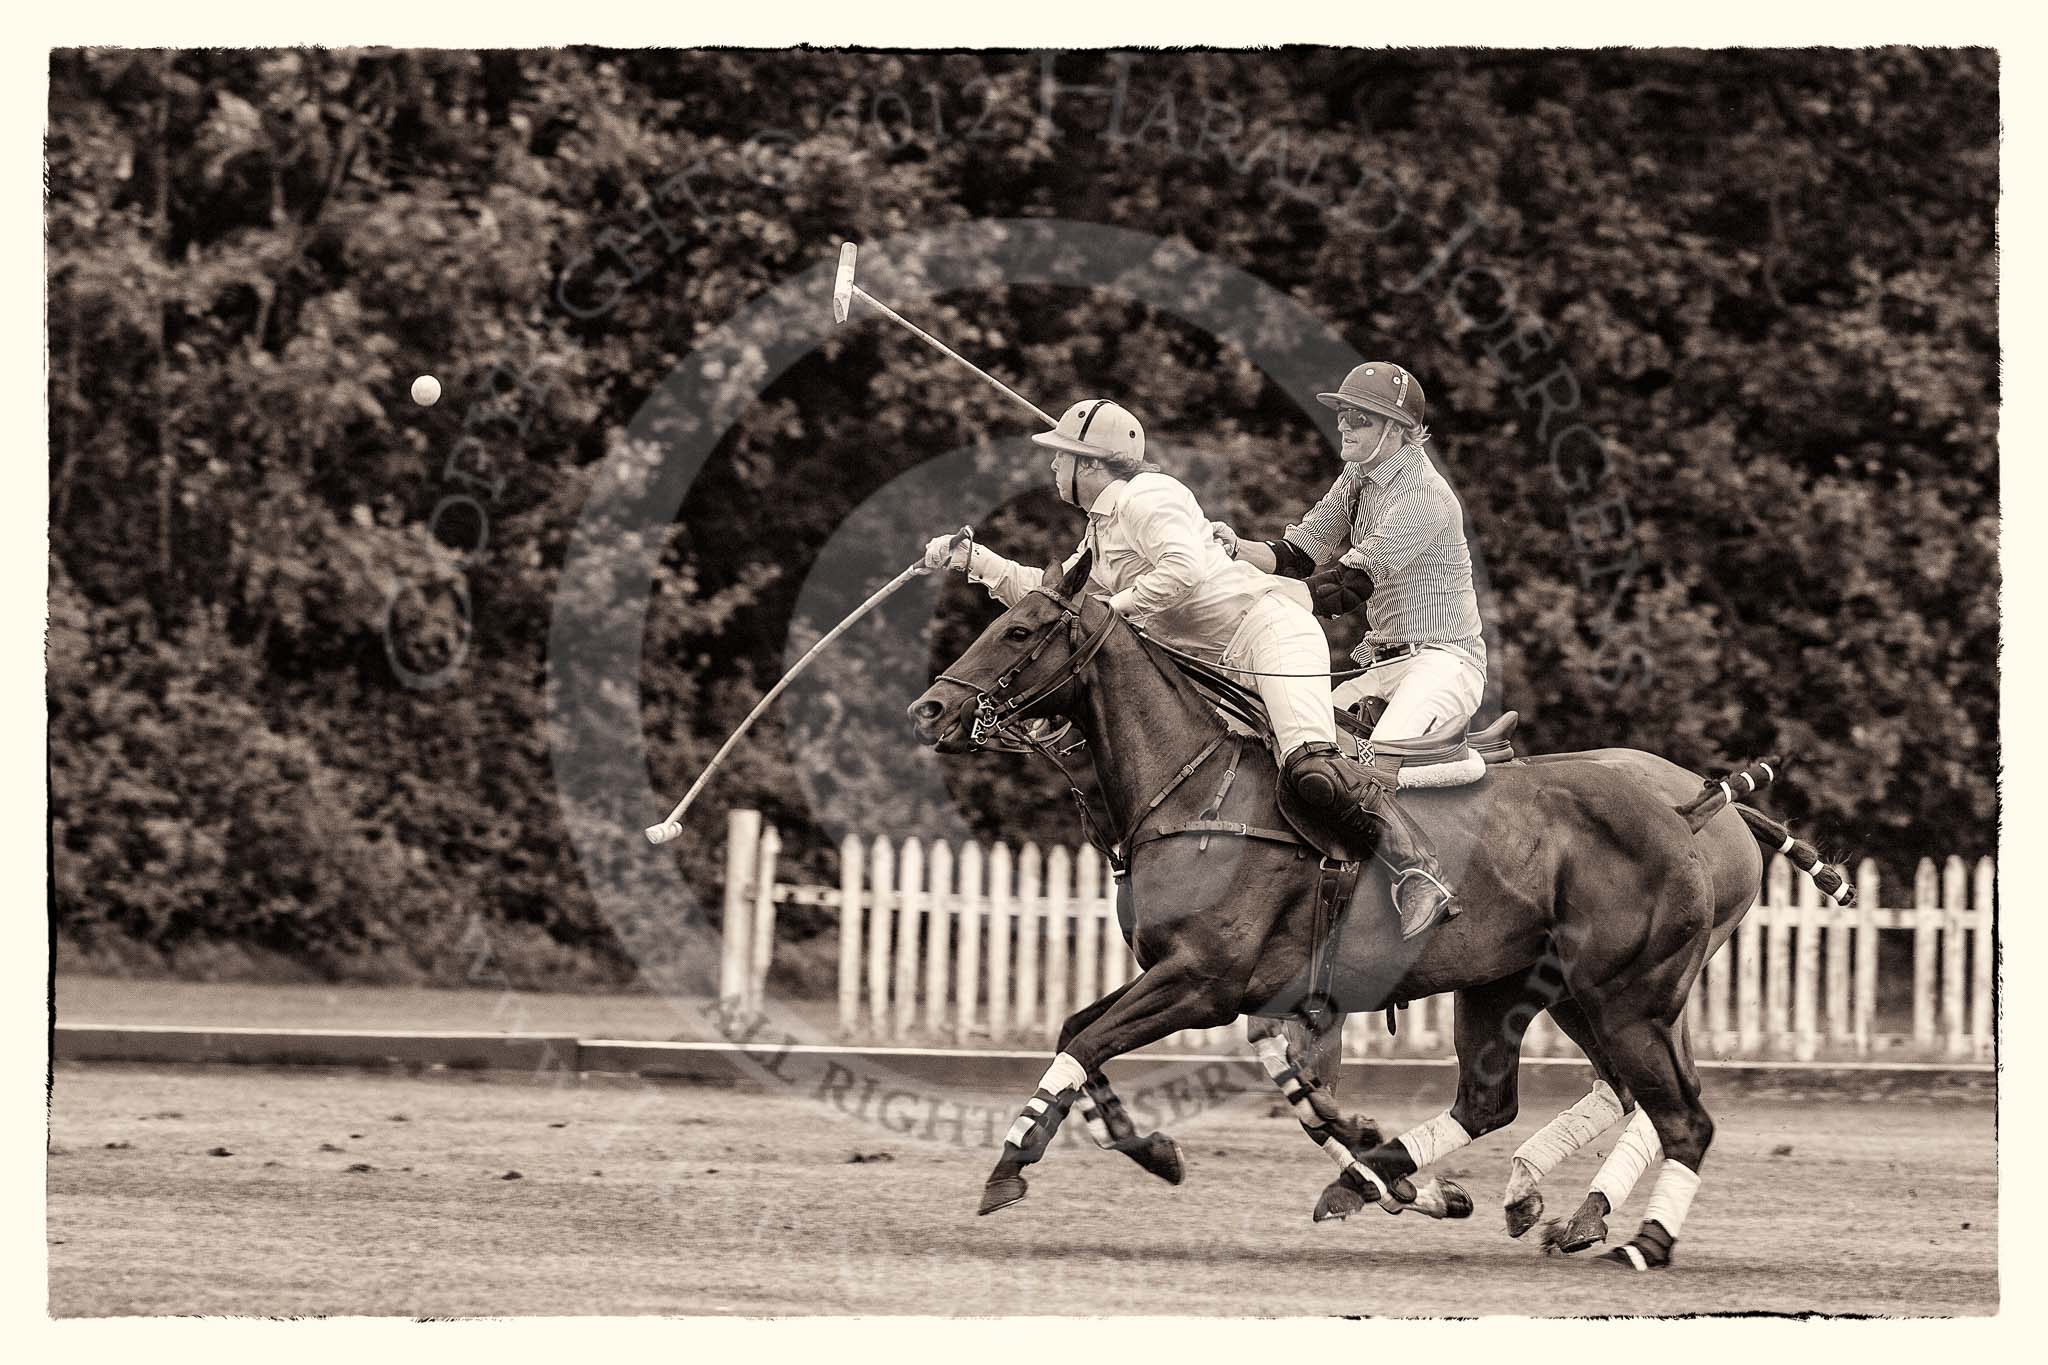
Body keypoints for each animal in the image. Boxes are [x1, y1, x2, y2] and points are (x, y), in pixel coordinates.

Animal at [913, 552, 1843, 1268]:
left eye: (1021, 629)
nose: (931, 708)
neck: (1194, 787)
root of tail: (1696, 806)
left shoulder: (1203, 982)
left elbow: (1089, 1040)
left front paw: (1010, 1162)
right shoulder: (1221, 988)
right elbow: (1083, 1030)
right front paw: (1158, 1150)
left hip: (1627, 995)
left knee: (1681, 1115)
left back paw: (1636, 1238)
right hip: (1529, 989)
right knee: (1509, 1099)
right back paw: (1420, 1185)